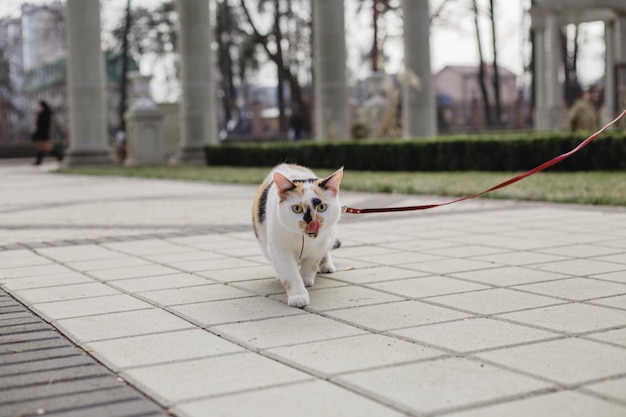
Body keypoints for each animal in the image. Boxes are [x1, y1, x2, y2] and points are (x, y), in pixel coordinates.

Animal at [252, 162, 344, 306]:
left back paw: (326, 265)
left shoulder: (319, 247)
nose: (312, 223)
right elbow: (290, 273)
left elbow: (311, 263)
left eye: (322, 207)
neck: (304, 239)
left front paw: (306, 279)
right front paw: (298, 295)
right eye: (297, 209)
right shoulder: (280, 250)